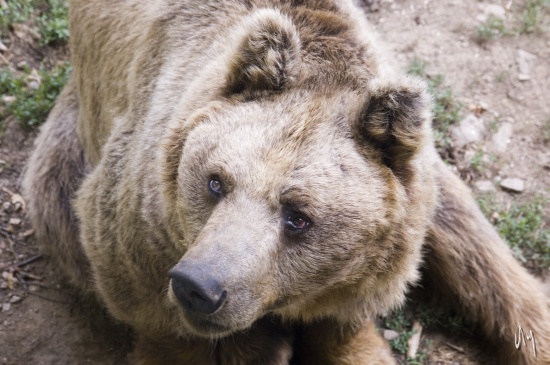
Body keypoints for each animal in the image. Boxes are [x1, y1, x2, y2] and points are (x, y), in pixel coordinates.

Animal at [21, 0, 550, 364]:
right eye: (216, 182)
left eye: (298, 216)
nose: (199, 286)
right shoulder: (140, 220)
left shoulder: (409, 207)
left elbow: (469, 252)